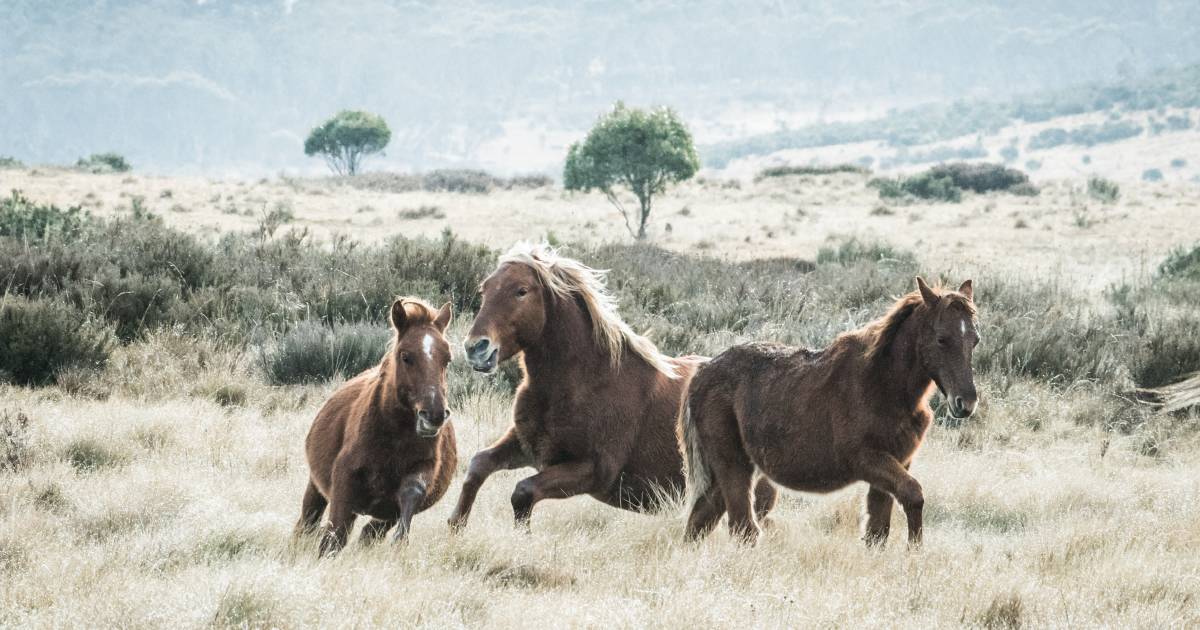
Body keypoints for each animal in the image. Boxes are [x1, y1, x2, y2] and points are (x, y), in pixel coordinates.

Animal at [295, 297, 453, 556]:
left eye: (447, 358)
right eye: (406, 356)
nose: (434, 415)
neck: (394, 437)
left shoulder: (424, 468)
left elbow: (412, 491)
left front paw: (401, 539)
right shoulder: (344, 481)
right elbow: (334, 536)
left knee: (369, 532)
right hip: (315, 488)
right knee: (307, 522)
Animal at [451, 243, 777, 528]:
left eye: (521, 291)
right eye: (484, 289)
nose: (476, 348)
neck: (581, 381)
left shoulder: (594, 470)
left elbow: (523, 492)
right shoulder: (526, 446)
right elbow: (478, 466)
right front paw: (455, 525)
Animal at [686, 276, 974, 544]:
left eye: (976, 340)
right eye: (941, 339)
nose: (966, 403)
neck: (882, 385)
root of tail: (701, 374)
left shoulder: (895, 464)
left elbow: (877, 531)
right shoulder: (868, 460)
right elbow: (913, 496)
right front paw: (913, 553)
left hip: (734, 470)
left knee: (701, 520)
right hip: (734, 466)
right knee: (742, 528)